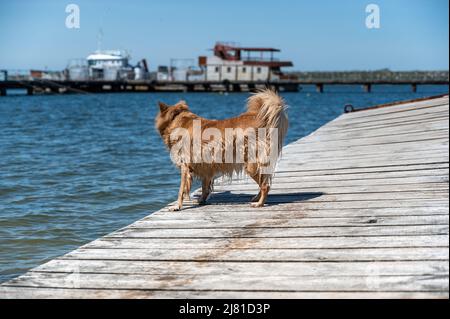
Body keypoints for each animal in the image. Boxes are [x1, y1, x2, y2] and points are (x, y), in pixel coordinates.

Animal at [155, 89, 288, 211]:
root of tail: (258, 116)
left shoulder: (185, 167)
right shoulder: (205, 166)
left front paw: (177, 206)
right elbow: (205, 187)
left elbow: (181, 190)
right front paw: (202, 200)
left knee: (265, 185)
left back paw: (259, 203)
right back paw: (256, 198)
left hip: (251, 164)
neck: (177, 120)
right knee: (265, 181)